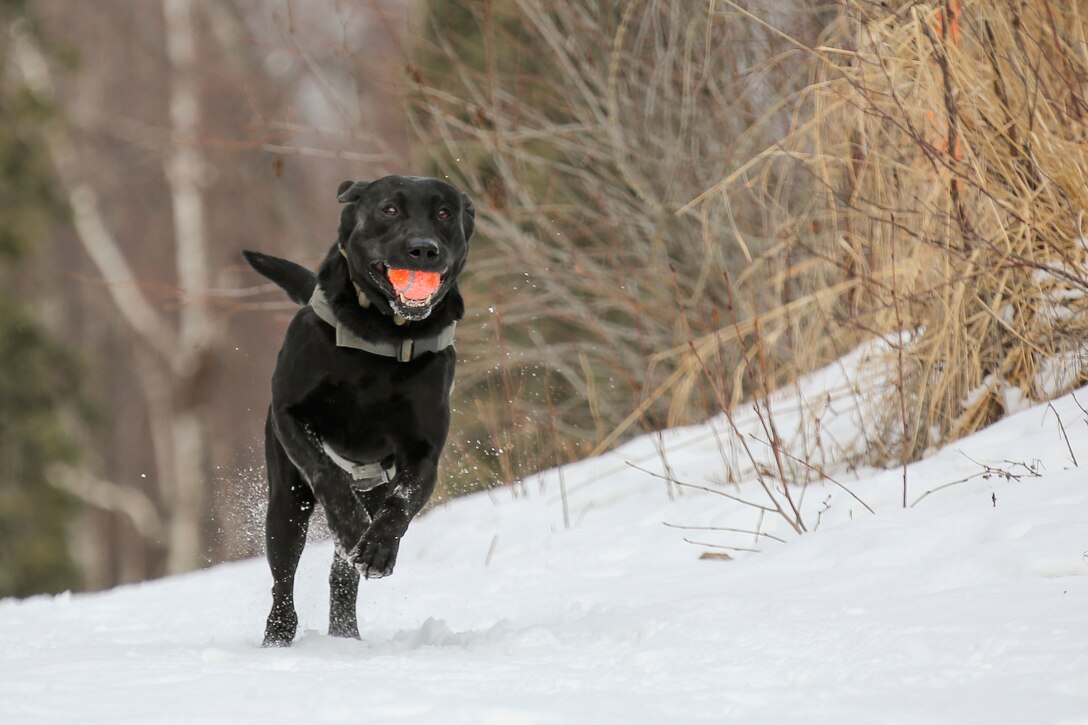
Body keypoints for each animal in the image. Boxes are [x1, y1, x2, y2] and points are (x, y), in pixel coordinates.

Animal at [244, 174, 474, 644]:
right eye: (389, 209)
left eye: (444, 213)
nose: (423, 249)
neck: (385, 332)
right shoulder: (291, 416)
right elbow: (327, 474)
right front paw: (349, 522)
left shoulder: (422, 453)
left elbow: (401, 504)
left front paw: (379, 549)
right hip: (285, 501)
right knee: (283, 578)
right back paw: (278, 637)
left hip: (372, 486)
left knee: (343, 575)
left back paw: (346, 635)